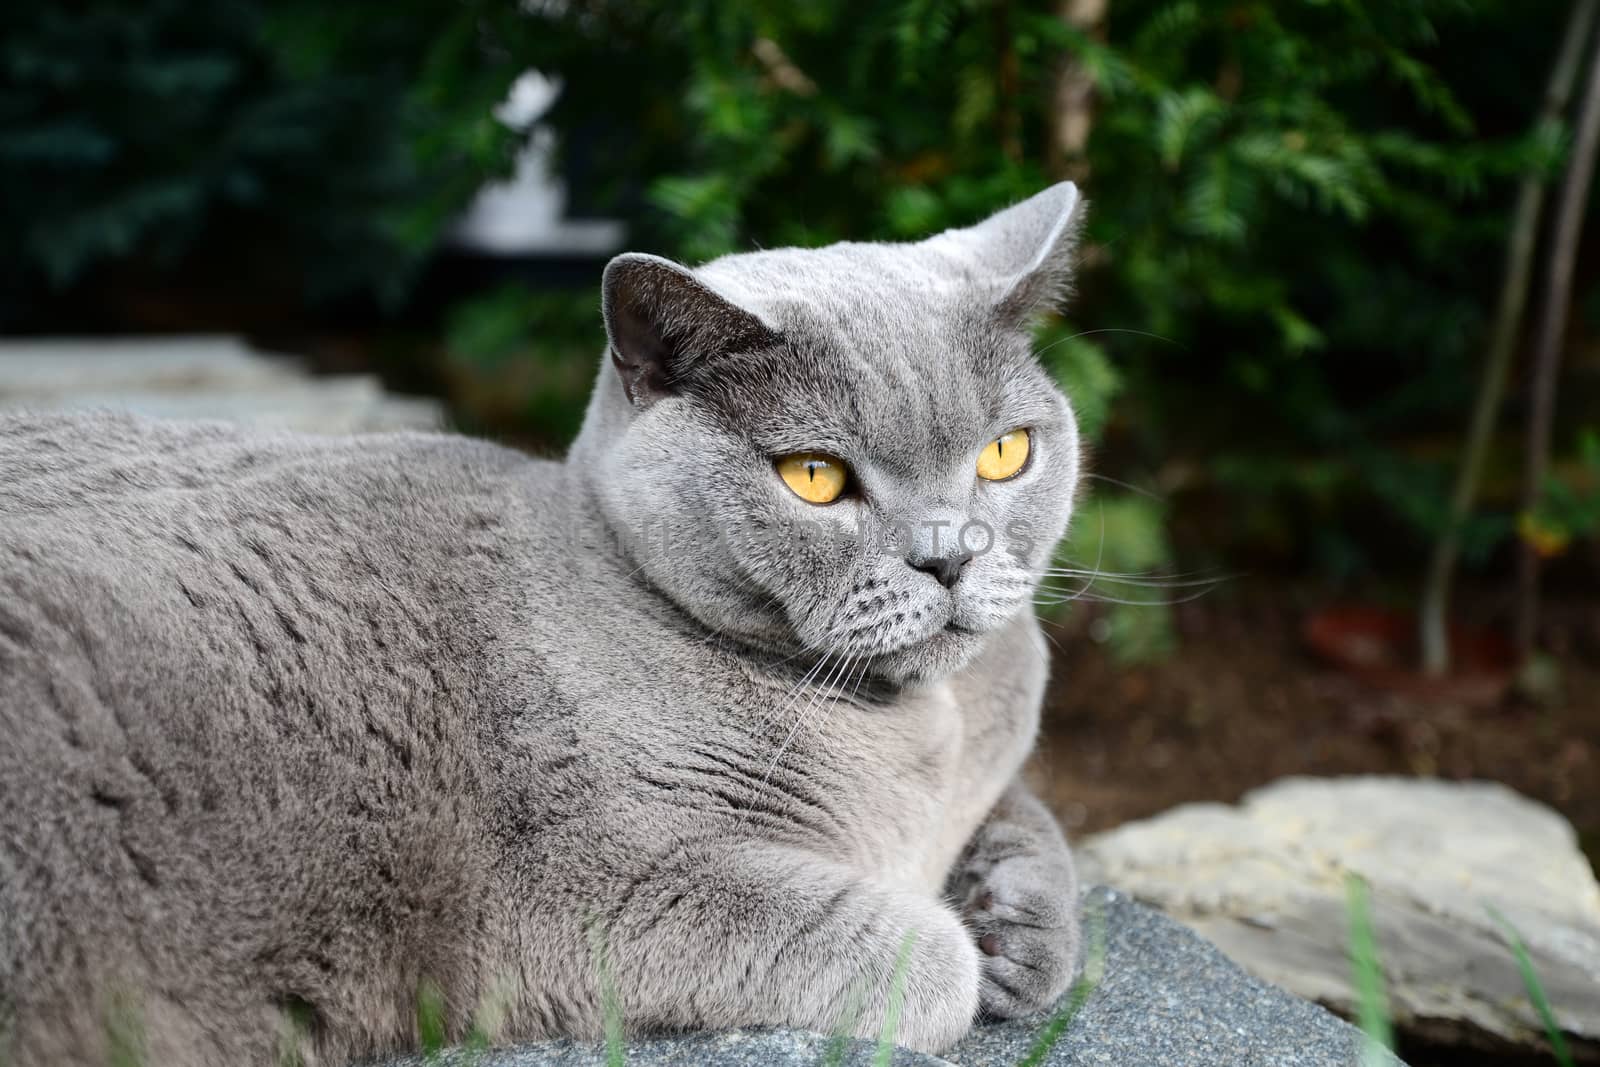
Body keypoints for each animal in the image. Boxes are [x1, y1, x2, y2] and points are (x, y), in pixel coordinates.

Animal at [0, 183, 1088, 1067]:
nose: (949, 555)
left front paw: (1021, 930)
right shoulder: (599, 892)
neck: (917, 728)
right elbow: (920, 958)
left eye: (1004, 453)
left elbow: (1037, 821)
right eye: (815, 477)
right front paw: (965, 944)